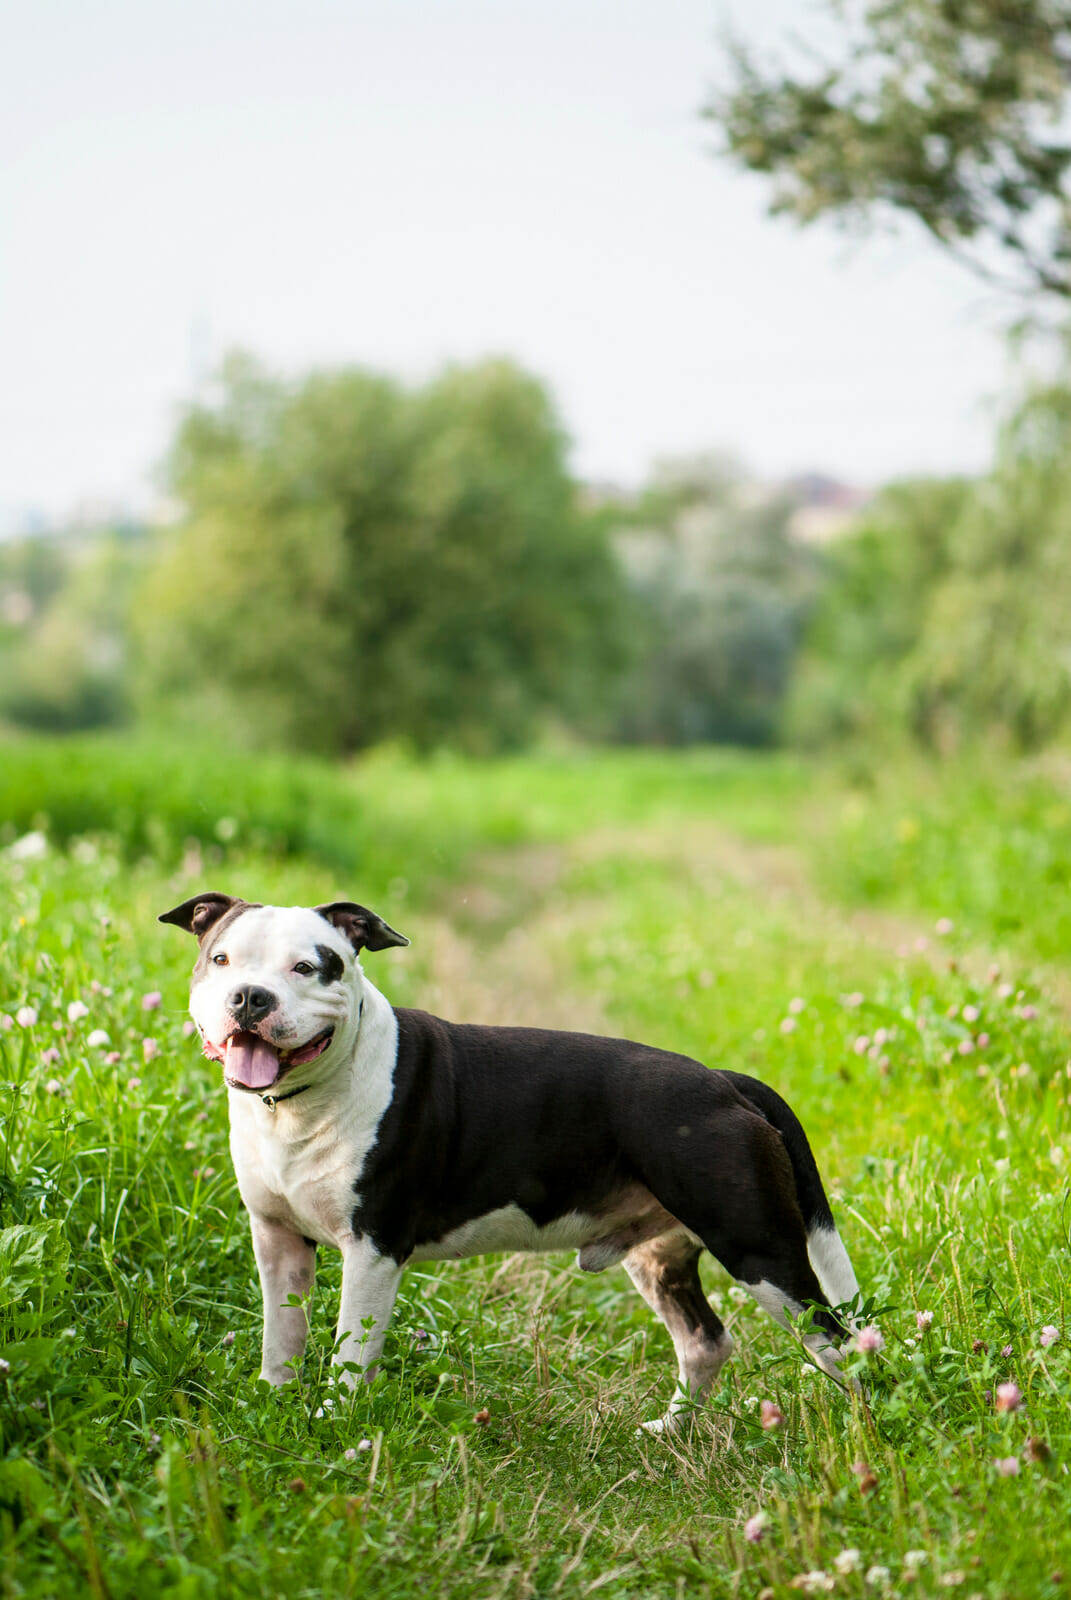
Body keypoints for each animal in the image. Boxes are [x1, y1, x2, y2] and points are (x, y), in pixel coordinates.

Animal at [160, 896, 858, 1433]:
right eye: (221, 959)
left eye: (307, 967)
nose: (250, 997)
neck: (300, 1105)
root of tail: (725, 1081)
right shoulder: (277, 1240)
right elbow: (282, 1337)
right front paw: (272, 1404)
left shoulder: (372, 1247)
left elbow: (351, 1351)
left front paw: (334, 1425)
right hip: (658, 1256)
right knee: (706, 1341)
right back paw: (671, 1429)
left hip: (760, 1250)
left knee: (839, 1343)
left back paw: (863, 1435)